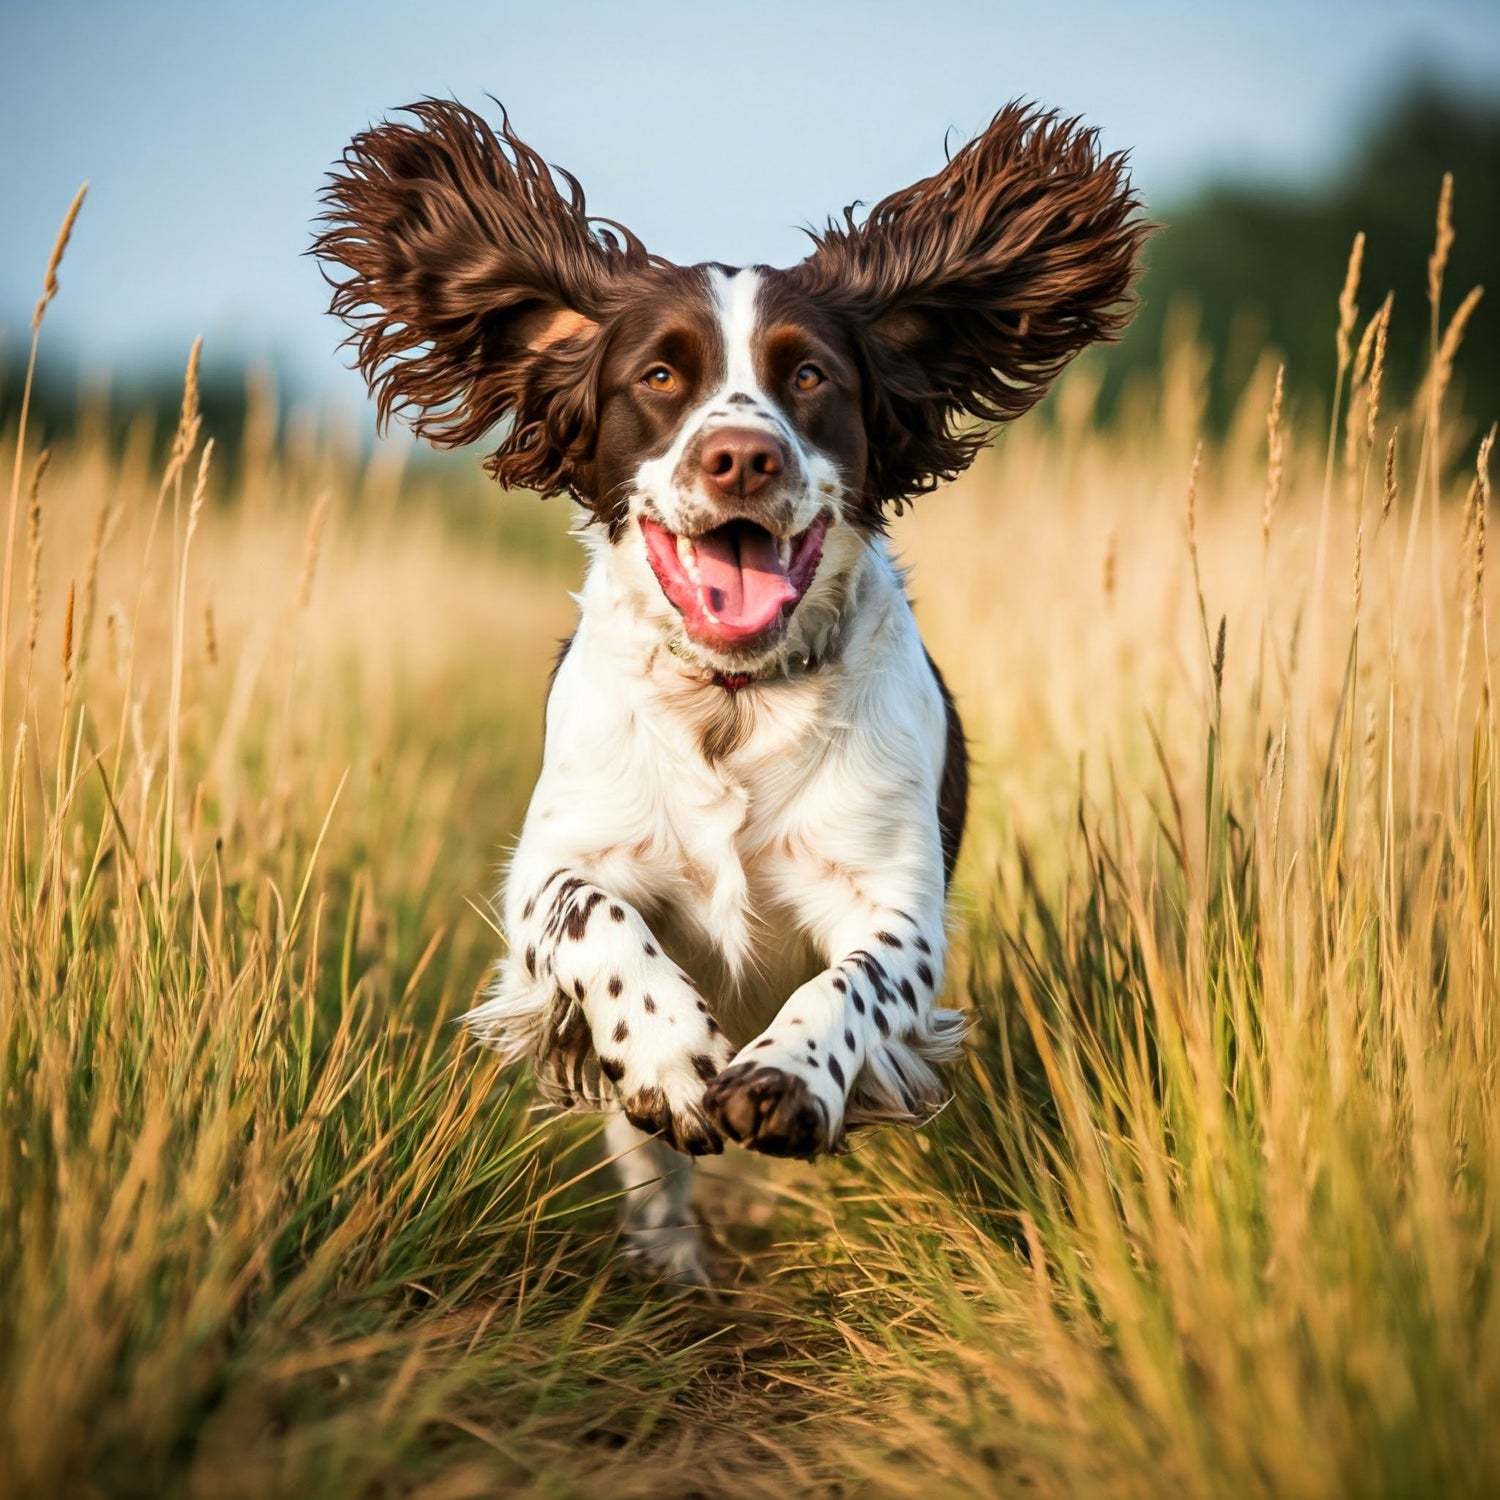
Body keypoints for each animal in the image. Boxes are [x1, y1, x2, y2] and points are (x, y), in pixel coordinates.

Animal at [313, 99, 1134, 1284]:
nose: (742, 457)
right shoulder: (552, 867)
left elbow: (856, 979)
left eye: (811, 378)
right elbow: (594, 919)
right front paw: (674, 1055)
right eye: (661, 378)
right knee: (649, 1167)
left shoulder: (895, 896)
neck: (732, 703)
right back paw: (668, 1264)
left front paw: (785, 1078)